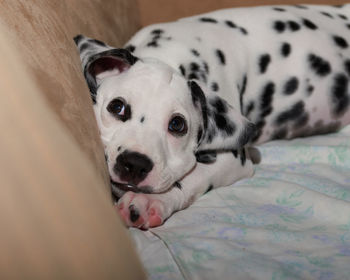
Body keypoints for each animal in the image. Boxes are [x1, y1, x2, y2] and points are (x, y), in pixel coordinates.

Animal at [74, 3, 350, 228]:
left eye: (177, 124)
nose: (134, 163)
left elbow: (192, 177)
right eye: (117, 107)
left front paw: (149, 201)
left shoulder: (232, 157)